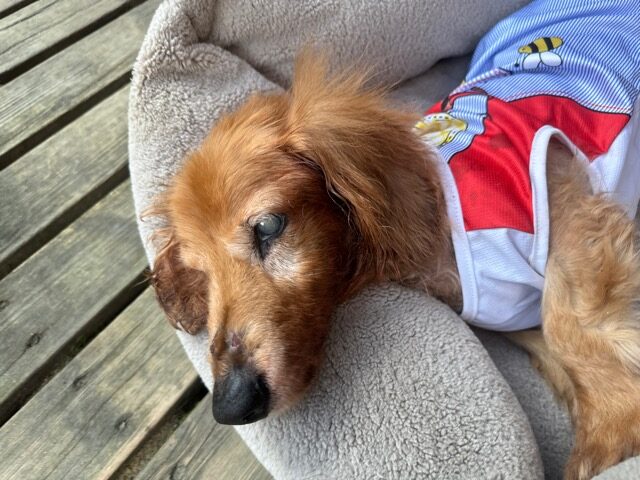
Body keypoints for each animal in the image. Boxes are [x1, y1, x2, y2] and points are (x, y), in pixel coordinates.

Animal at [149, 3, 640, 478]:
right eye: (200, 273)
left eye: (268, 227)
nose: (231, 404)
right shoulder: (511, 315)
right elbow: (553, 348)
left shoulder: (564, 199)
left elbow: (566, 326)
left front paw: (607, 432)